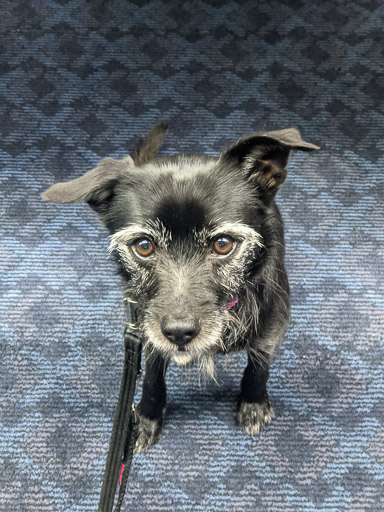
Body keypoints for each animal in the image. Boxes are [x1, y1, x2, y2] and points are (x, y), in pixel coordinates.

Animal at [41, 123, 318, 452]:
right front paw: (145, 418)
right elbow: (151, 376)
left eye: (222, 244)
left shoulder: (270, 325)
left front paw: (253, 403)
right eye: (143, 246)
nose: (178, 332)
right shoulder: (145, 328)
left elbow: (259, 366)